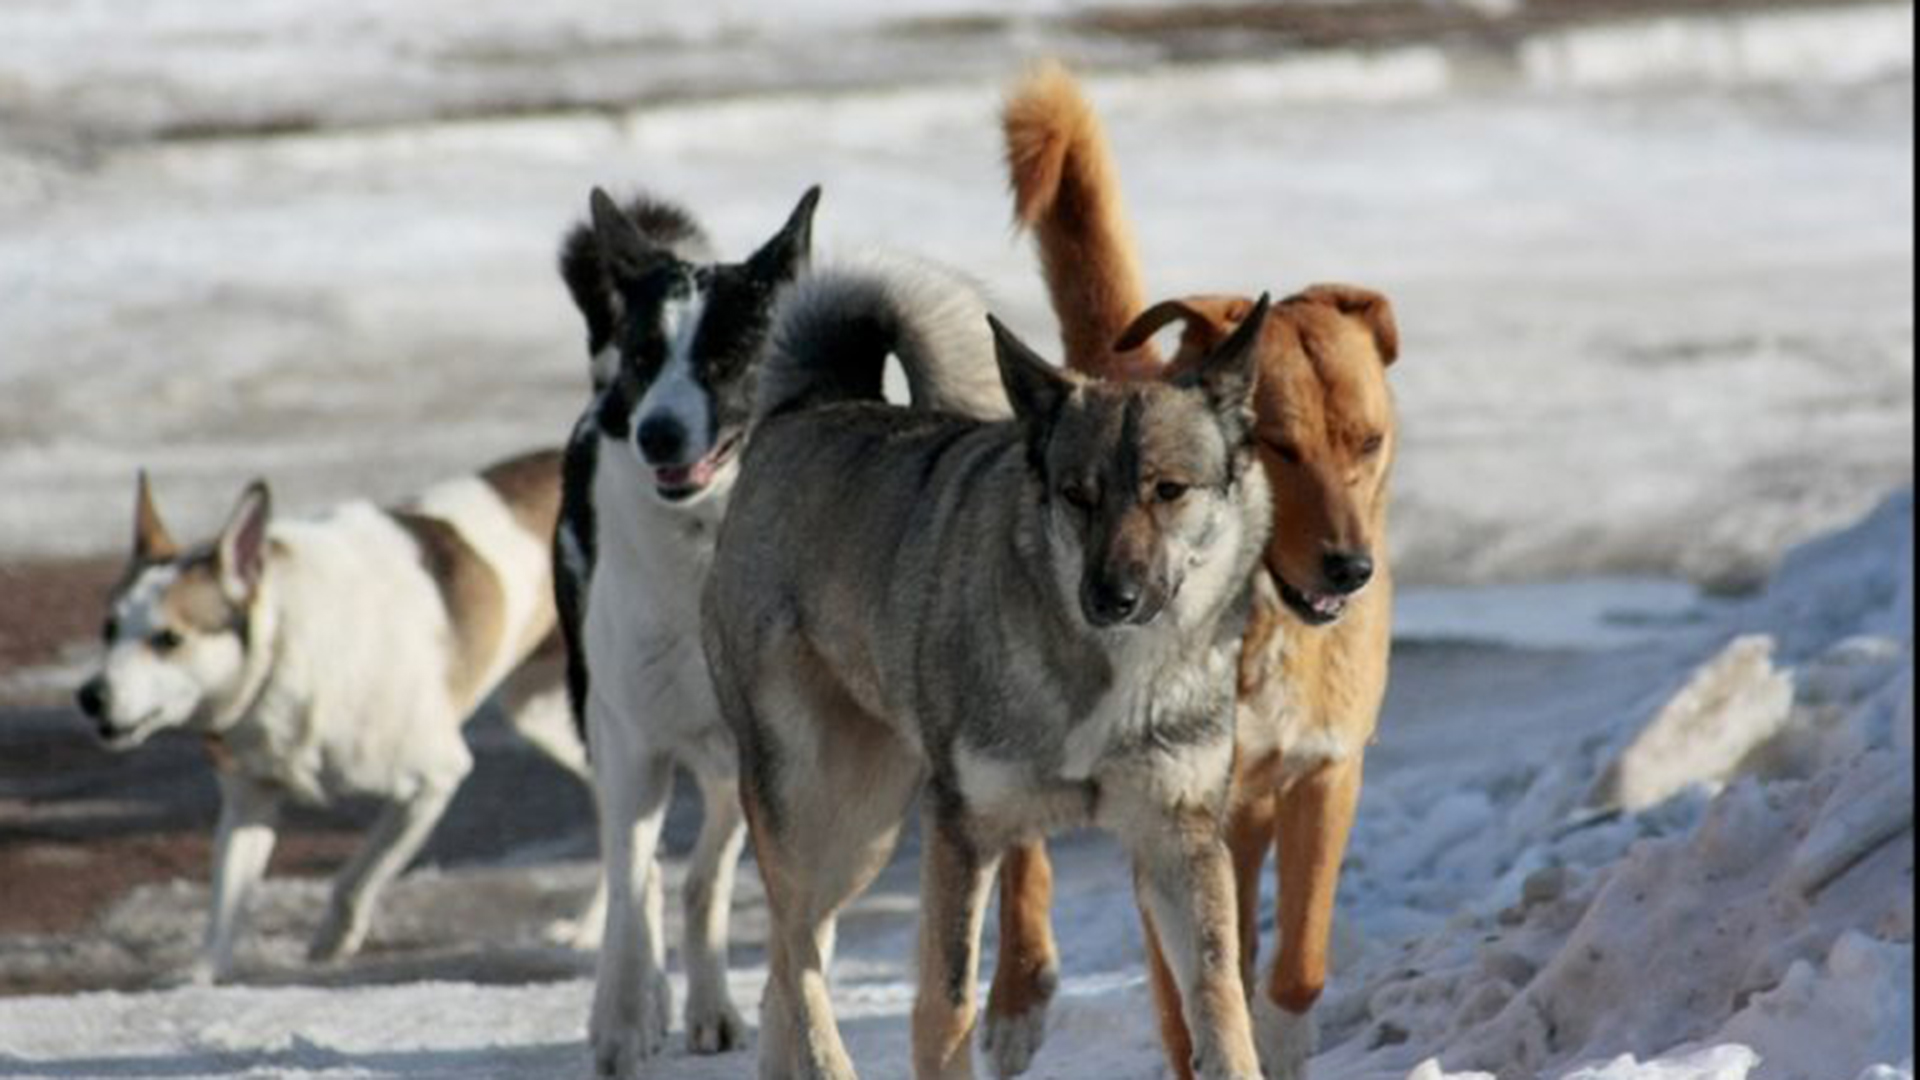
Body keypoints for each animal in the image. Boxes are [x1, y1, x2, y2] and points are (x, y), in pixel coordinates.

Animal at [76, 453, 583, 983]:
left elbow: (356, 876)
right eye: (109, 629)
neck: (284, 641)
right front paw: (199, 977)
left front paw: (332, 941)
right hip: (540, 715)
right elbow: (225, 905)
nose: (90, 697)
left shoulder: (434, 779)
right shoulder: (250, 798)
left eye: (169, 639)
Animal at [549, 184, 817, 1068]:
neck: (704, 547)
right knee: (640, 876)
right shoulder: (631, 743)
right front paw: (623, 1021)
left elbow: (721, 890)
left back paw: (710, 1004)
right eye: (645, 358)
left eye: (727, 357)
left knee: (705, 878)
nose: (656, 431)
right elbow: (634, 890)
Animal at [706, 261, 1274, 1076]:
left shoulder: (1179, 838)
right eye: (1077, 495)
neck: (1104, 678)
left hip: (863, 833)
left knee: (784, 973)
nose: (1111, 598)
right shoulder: (963, 832)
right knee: (794, 956)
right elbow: (945, 1007)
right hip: (813, 809)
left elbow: (1221, 1002)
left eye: (1169, 490)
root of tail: (806, 407)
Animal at [990, 65, 1397, 1076]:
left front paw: (1280, 1037)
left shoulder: (1324, 773)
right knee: (1019, 846)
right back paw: (1015, 992)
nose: (1352, 567)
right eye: (1280, 446)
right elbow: (1187, 1002)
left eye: (1368, 441)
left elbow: (1297, 960)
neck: (1257, 623)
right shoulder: (1169, 813)